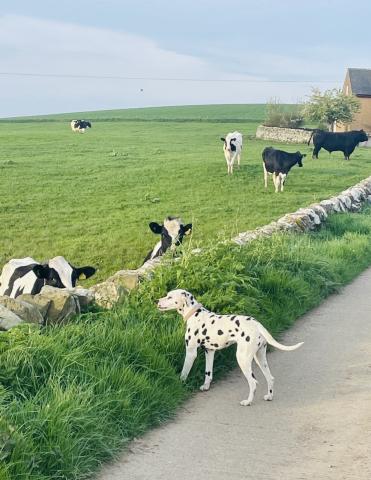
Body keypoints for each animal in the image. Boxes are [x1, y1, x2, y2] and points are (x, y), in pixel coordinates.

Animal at [158, 288, 304, 404]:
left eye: (169, 296)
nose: (157, 301)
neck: (195, 314)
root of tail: (257, 324)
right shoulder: (210, 351)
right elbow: (208, 373)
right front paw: (206, 386)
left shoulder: (191, 352)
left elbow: (184, 373)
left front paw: (180, 384)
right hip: (260, 358)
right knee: (270, 378)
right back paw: (269, 396)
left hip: (242, 359)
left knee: (253, 382)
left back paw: (248, 402)